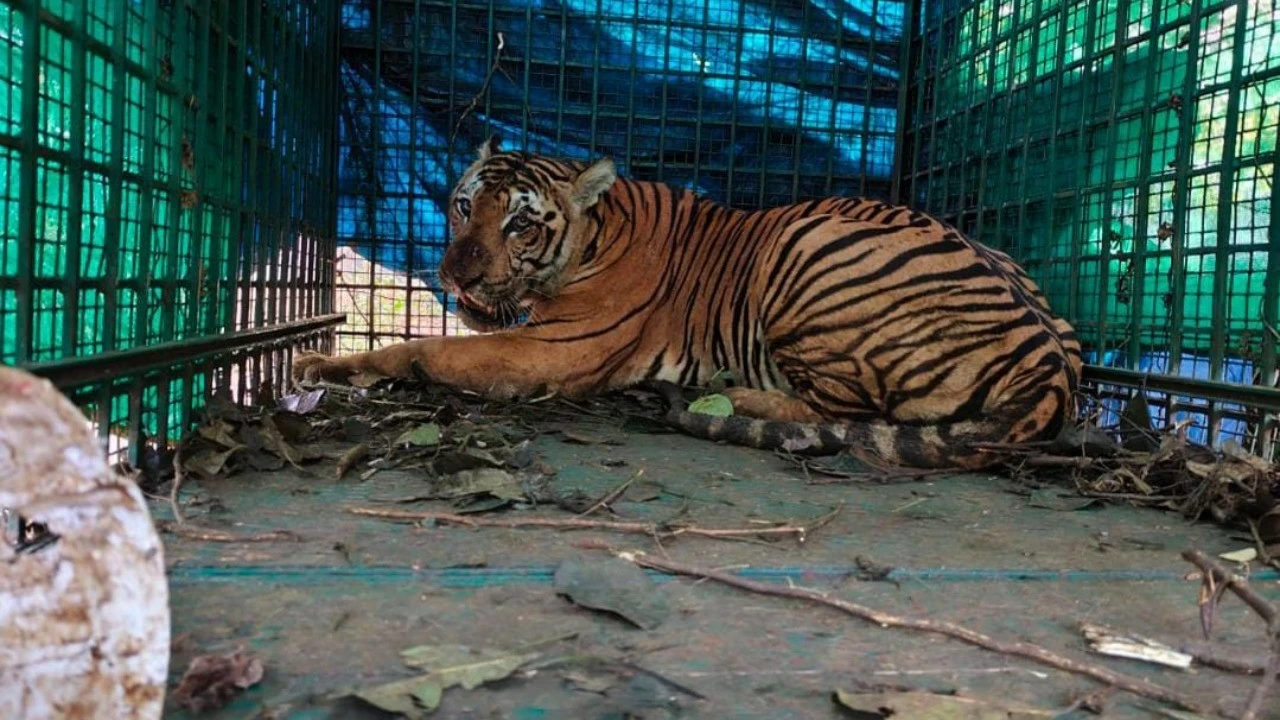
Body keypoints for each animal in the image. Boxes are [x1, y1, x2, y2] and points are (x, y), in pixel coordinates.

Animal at [293, 137, 1083, 470]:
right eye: (462, 207)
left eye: (519, 223)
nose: (456, 273)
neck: (594, 233)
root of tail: (1053, 370)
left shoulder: (547, 352)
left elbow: (422, 349)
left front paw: (317, 365)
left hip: (808, 241)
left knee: (847, 412)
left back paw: (732, 395)